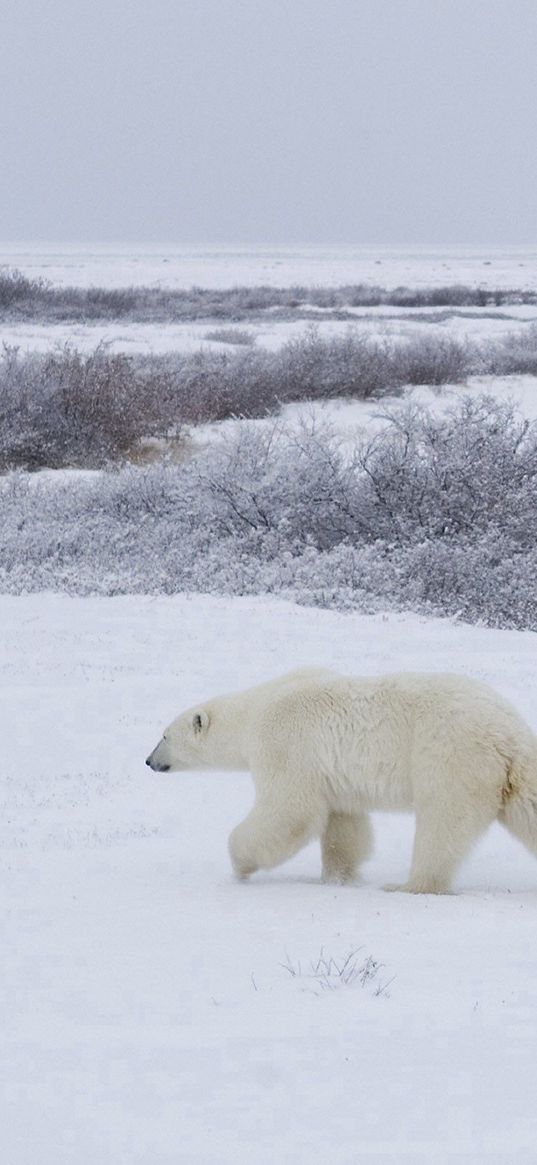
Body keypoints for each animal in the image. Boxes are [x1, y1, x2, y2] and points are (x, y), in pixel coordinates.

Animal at [144, 666, 535, 890]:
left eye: (164, 735)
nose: (148, 761)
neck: (256, 710)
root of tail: (509, 731)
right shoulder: (331, 774)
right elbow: (343, 825)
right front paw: (337, 877)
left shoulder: (286, 743)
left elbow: (290, 811)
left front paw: (241, 866)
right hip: (501, 772)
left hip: (450, 757)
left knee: (442, 824)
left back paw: (410, 884)